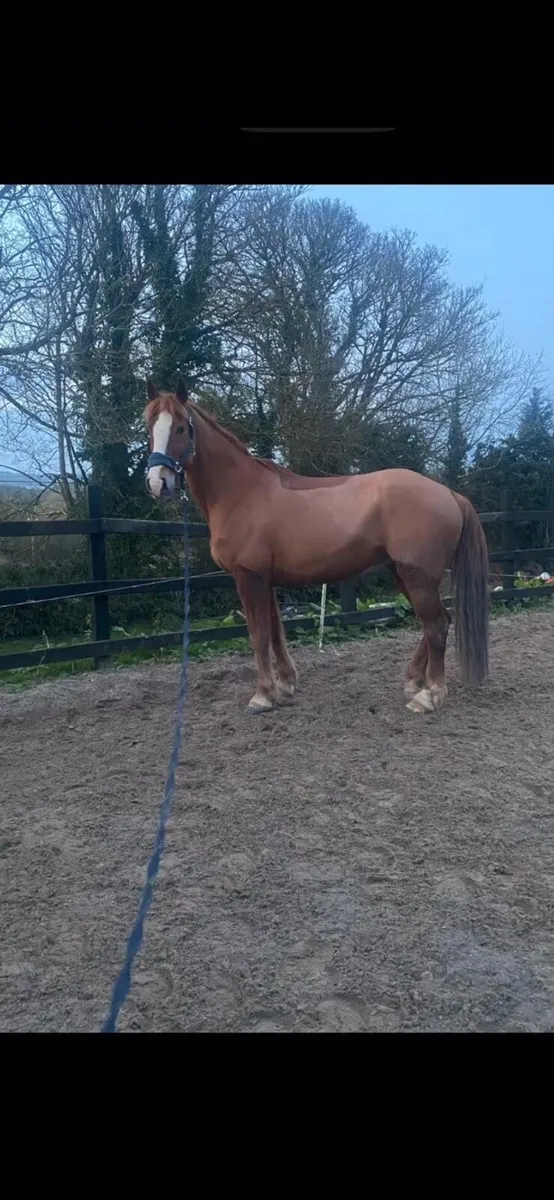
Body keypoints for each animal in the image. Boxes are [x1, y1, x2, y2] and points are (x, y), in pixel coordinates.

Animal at [144, 378, 489, 716]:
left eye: (180, 427)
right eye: (149, 426)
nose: (158, 482)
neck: (242, 493)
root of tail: (448, 493)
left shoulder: (248, 577)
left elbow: (258, 635)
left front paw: (262, 696)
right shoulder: (266, 579)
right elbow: (276, 631)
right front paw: (285, 684)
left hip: (419, 577)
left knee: (436, 625)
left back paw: (429, 696)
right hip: (402, 573)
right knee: (438, 621)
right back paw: (414, 681)